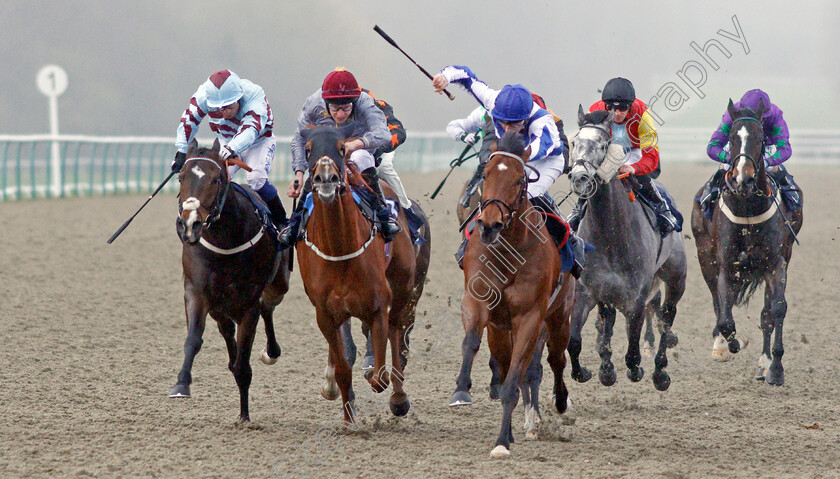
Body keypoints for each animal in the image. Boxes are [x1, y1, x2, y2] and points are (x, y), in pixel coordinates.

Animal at [171, 139, 292, 424]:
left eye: (216, 179)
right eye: (181, 177)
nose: (190, 225)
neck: (225, 239)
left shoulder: (248, 304)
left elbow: (243, 364)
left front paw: (244, 416)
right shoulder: (196, 293)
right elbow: (194, 340)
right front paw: (181, 384)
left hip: (279, 284)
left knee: (267, 307)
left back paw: (271, 351)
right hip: (220, 308)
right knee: (227, 328)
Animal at [296, 125, 430, 426]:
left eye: (341, 147)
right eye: (308, 149)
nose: (325, 177)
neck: (340, 248)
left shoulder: (378, 304)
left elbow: (379, 374)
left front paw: (382, 384)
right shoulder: (326, 313)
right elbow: (343, 366)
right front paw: (348, 417)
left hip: (407, 288)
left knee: (398, 330)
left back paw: (398, 397)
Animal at [460, 130, 576, 458]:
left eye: (518, 180)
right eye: (485, 173)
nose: (489, 224)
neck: (507, 251)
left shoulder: (529, 317)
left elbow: (514, 382)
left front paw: (501, 441)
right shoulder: (479, 303)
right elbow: (472, 342)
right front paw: (461, 388)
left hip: (559, 317)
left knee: (555, 360)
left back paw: (560, 402)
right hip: (501, 329)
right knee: (507, 363)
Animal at [564, 108, 688, 394]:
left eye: (602, 145)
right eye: (575, 142)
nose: (580, 178)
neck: (610, 234)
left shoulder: (636, 300)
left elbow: (632, 353)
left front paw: (637, 369)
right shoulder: (587, 293)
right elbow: (574, 342)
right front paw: (592, 371)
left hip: (676, 279)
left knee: (666, 319)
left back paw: (660, 372)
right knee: (608, 322)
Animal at [692, 98, 804, 386]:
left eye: (761, 138)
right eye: (732, 137)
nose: (743, 178)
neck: (748, 208)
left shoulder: (776, 264)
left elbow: (776, 310)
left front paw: (775, 368)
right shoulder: (725, 266)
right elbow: (725, 317)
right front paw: (730, 344)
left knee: (765, 313)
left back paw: (764, 364)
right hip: (704, 257)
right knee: (718, 303)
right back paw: (721, 345)